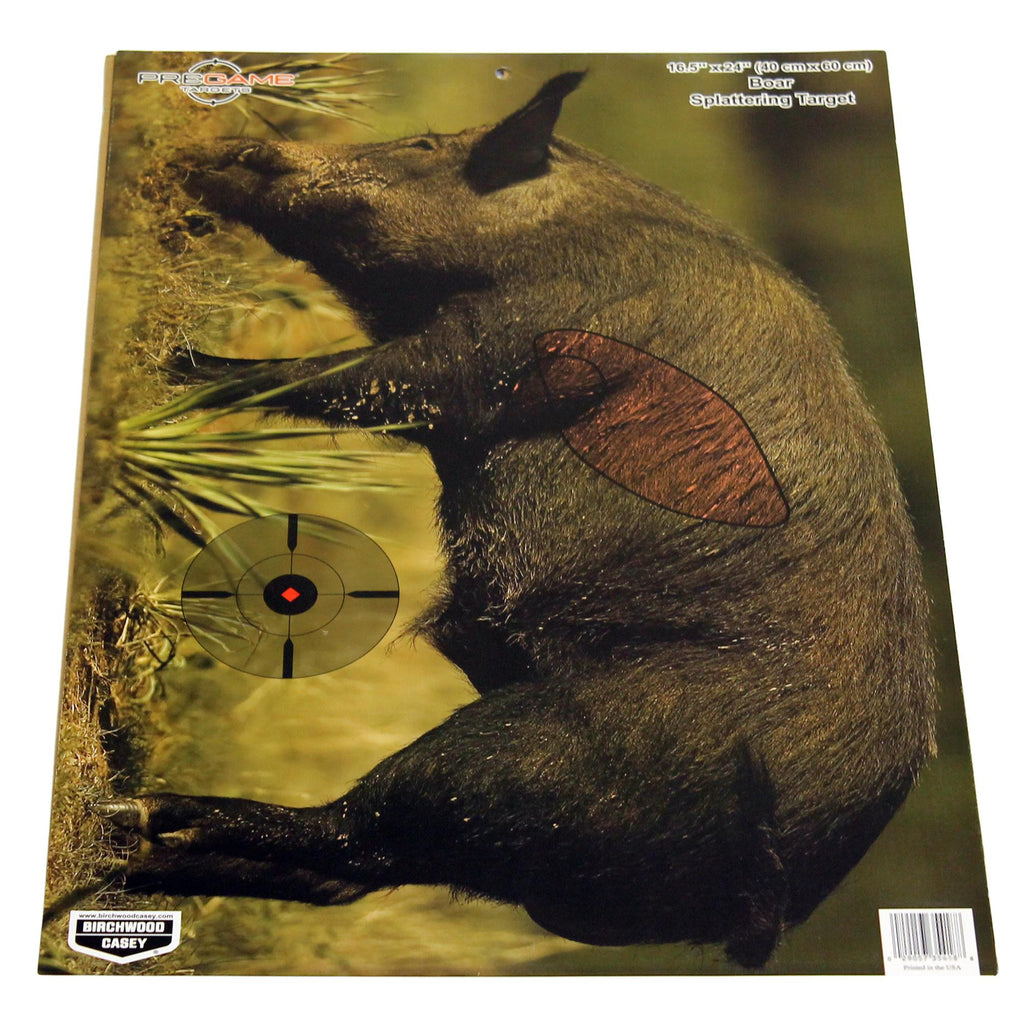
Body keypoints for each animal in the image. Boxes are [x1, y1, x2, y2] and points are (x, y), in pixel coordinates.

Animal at [97, 71, 936, 968]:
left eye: (424, 145)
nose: (225, 145)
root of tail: (767, 904)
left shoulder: (489, 352)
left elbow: (344, 379)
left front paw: (178, 363)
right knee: (347, 871)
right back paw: (132, 856)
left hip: (537, 754)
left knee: (354, 833)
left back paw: (140, 817)